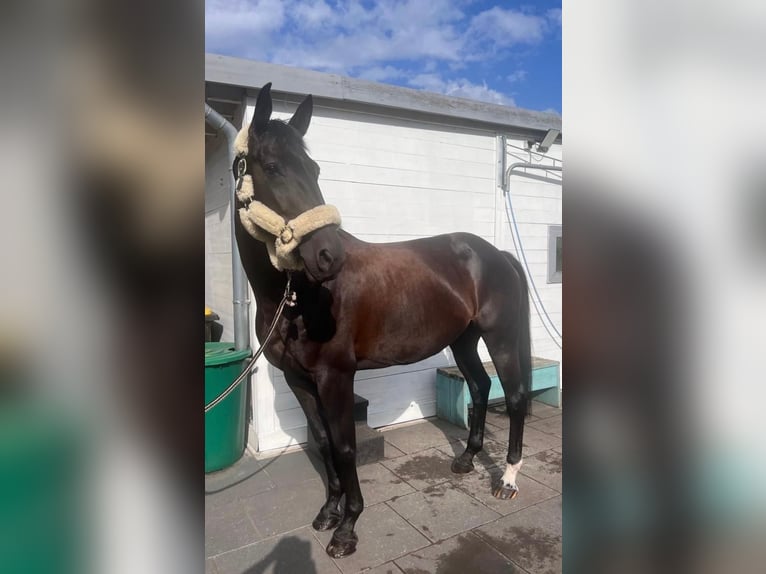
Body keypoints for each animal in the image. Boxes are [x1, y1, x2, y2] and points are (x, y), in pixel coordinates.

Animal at [233, 83, 532, 558]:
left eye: (314, 168)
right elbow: (322, 442)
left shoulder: (336, 377)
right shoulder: (301, 380)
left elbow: (345, 447)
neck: (297, 298)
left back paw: (506, 479)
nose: (329, 256)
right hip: (463, 340)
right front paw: (328, 512)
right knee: (481, 386)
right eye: (273, 167)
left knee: (516, 396)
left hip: (499, 337)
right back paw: (466, 459)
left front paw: (347, 528)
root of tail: (495, 253)